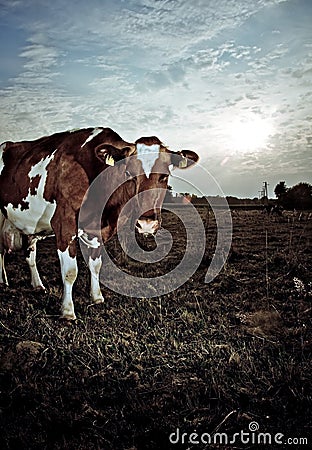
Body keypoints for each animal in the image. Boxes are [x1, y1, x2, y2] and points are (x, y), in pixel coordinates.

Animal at [0, 127, 199, 320]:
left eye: (164, 176)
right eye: (128, 173)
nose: (146, 223)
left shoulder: (99, 231)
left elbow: (96, 266)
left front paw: (97, 298)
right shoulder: (64, 226)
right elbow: (70, 272)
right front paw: (67, 311)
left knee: (29, 253)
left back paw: (36, 284)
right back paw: (3, 281)